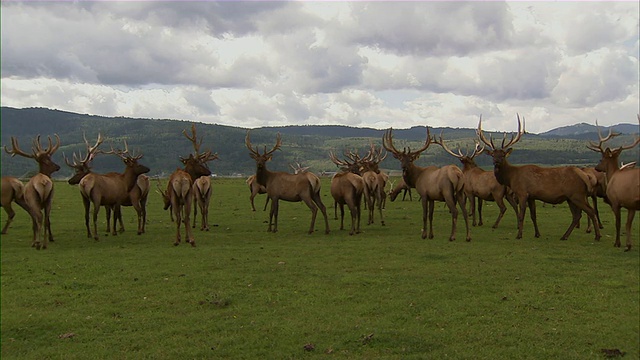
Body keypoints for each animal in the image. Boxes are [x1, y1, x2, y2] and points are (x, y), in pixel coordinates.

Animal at [584, 120, 640, 250]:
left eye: (601, 159)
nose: (596, 168)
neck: (613, 175)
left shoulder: (615, 201)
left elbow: (618, 223)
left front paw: (617, 243)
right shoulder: (631, 205)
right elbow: (628, 224)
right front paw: (628, 245)